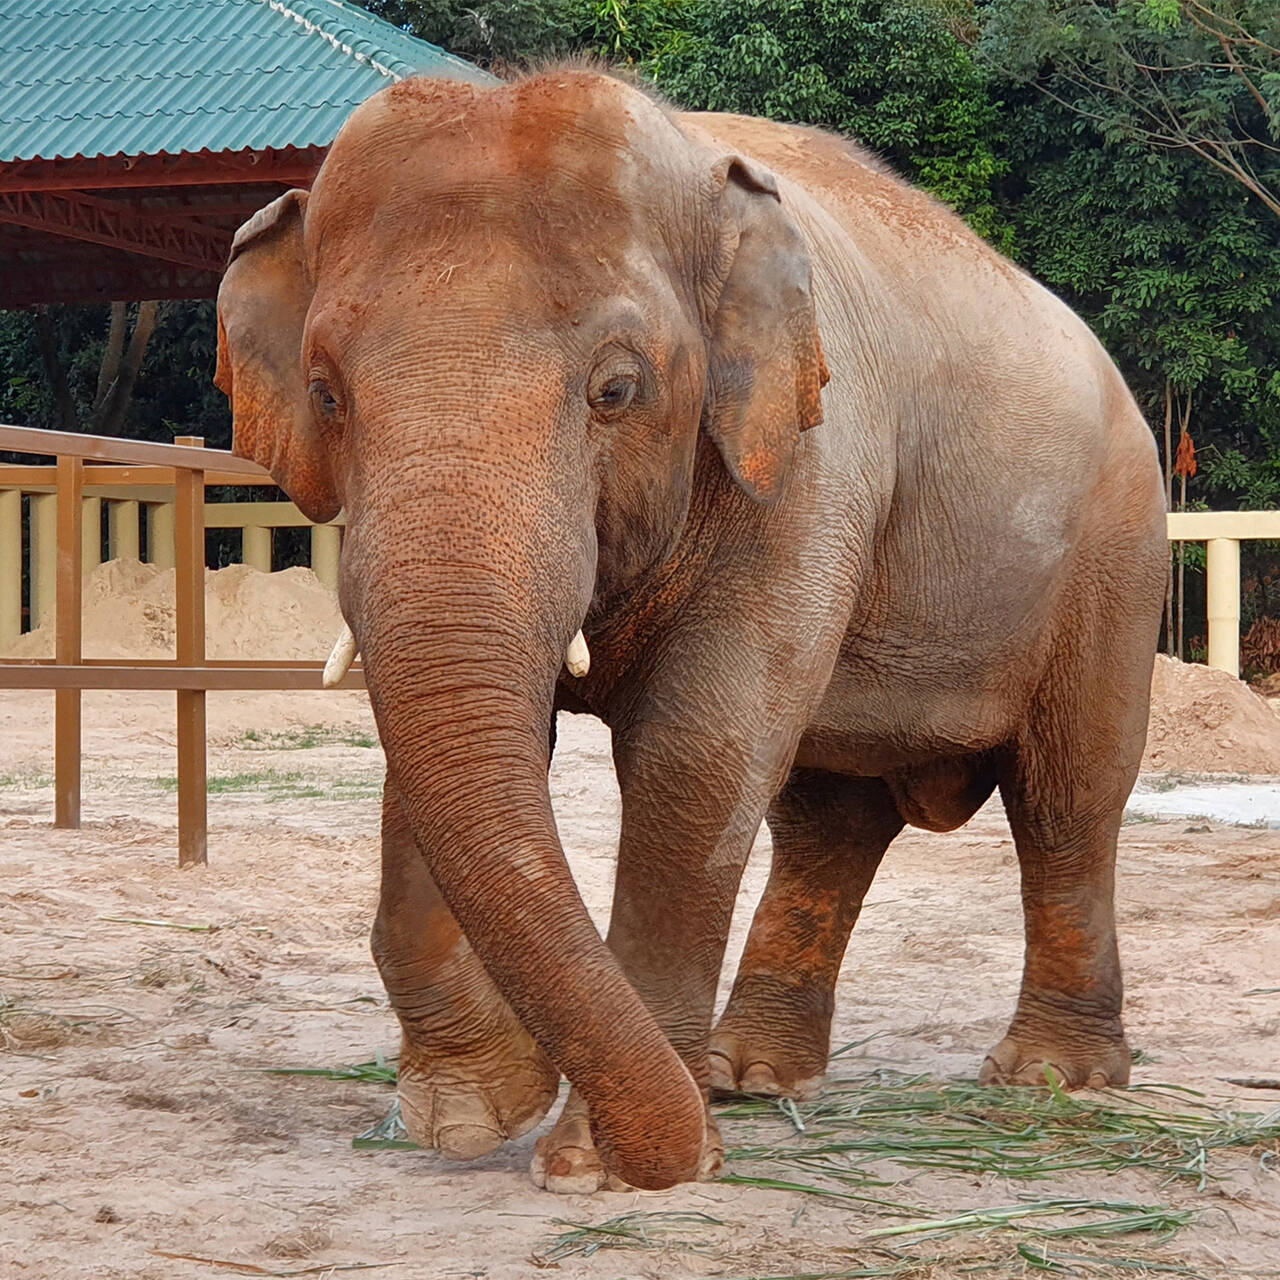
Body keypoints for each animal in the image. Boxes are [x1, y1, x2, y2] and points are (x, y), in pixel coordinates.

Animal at [217, 67, 1172, 1187]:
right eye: (327, 393)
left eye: (616, 388)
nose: (540, 1115)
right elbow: (443, 739)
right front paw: (471, 1112)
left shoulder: (811, 459)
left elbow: (698, 750)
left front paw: (598, 1165)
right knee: (829, 815)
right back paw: (745, 1074)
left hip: (1112, 552)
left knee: (1068, 795)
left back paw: (1050, 1080)